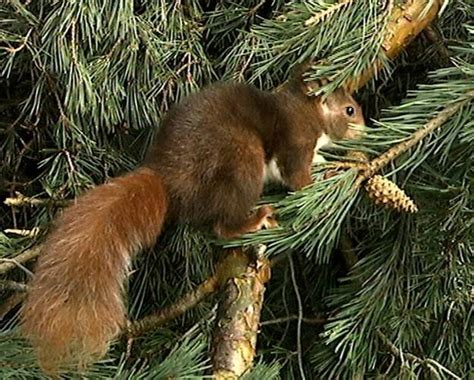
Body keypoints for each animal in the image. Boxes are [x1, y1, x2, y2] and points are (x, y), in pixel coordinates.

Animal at [20, 72, 364, 372]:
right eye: (350, 109)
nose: (366, 127)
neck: (305, 111)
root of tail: (168, 179)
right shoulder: (295, 143)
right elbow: (298, 179)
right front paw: (328, 176)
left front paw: (332, 161)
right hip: (242, 159)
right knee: (222, 226)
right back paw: (255, 219)